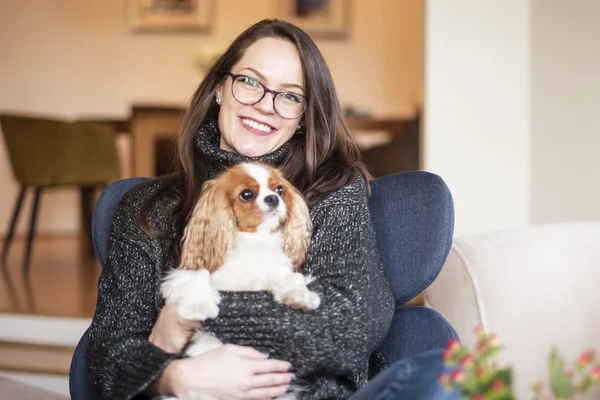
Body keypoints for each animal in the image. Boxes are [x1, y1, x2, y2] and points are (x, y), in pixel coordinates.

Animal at [158, 161, 318, 398]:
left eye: (280, 189)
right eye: (246, 194)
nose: (273, 198)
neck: (255, 240)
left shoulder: (276, 270)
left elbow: (291, 277)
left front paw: (300, 296)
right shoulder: (186, 272)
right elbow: (199, 275)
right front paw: (198, 307)